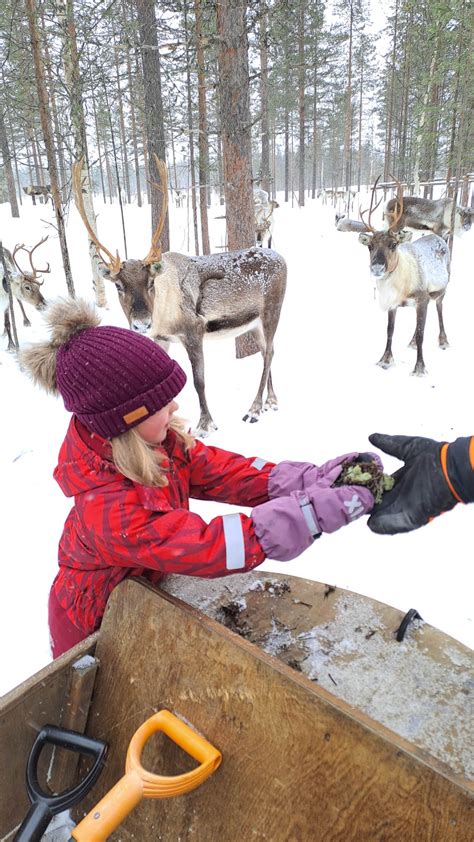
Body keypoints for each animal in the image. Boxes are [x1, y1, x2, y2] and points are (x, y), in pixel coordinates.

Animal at [73, 158, 287, 437]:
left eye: (150, 282)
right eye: (118, 285)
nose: (141, 324)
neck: (163, 314)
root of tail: (282, 258)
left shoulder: (194, 332)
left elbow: (199, 381)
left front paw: (205, 425)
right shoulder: (161, 339)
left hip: (272, 311)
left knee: (270, 352)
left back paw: (254, 409)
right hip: (253, 323)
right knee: (266, 352)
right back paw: (271, 401)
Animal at [357, 178, 450, 376]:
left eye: (393, 244)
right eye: (370, 246)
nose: (377, 267)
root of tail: (439, 238)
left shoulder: (422, 298)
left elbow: (422, 334)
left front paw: (420, 367)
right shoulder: (393, 304)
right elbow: (390, 331)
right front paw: (385, 360)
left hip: (442, 290)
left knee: (439, 307)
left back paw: (443, 340)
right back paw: (412, 342)